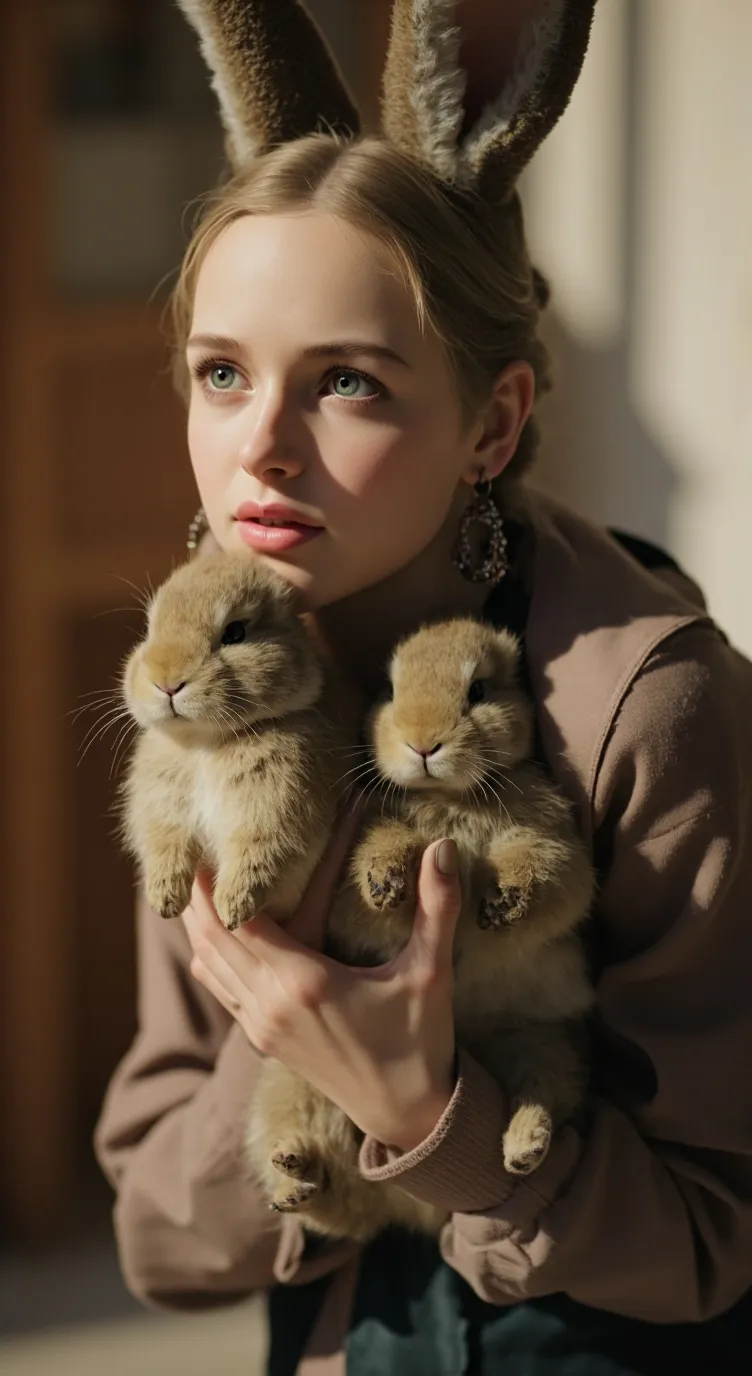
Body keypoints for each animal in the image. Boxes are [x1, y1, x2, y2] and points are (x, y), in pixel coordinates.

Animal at [119, 549, 357, 933]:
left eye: (235, 633)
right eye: (149, 630)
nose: (167, 683)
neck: (207, 742)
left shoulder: (274, 819)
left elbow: (258, 859)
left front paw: (232, 909)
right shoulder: (164, 815)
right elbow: (166, 849)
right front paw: (166, 900)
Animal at [247, 617, 595, 1242]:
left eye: (479, 690)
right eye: (389, 689)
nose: (424, 743)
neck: (448, 795)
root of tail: (417, 1211)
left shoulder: (558, 849)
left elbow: (542, 871)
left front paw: (500, 901)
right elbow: (384, 856)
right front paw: (387, 878)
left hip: (536, 1041)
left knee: (543, 1094)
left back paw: (524, 1146)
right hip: (297, 1087)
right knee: (337, 1197)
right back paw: (293, 1174)